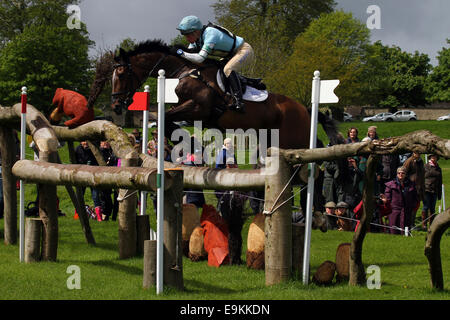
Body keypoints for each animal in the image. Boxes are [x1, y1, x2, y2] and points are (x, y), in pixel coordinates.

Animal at [110, 39, 342, 150]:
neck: (185, 72)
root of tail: (305, 108)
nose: (115, 106)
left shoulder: (198, 108)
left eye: (120, 74)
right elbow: (164, 120)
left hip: (292, 140)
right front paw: (188, 142)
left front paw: (191, 143)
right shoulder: (187, 110)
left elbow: (164, 119)